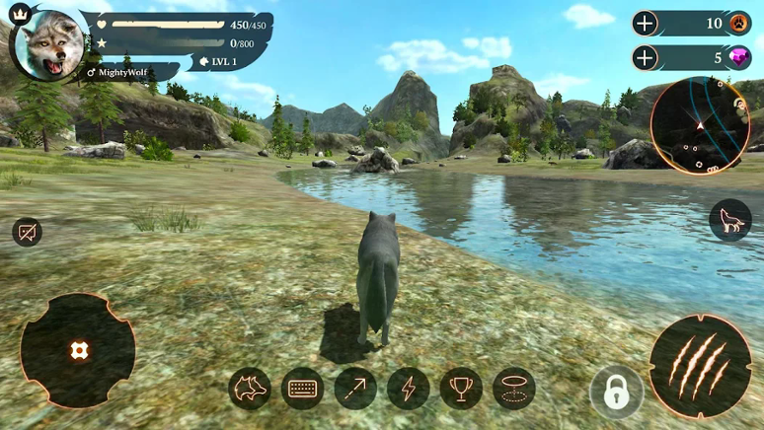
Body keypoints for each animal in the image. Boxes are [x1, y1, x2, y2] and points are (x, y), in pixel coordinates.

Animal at [356, 212, 400, 346]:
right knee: (386, 321)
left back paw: (361, 341)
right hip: (391, 295)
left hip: (362, 291)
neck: (381, 228)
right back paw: (385, 342)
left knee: (364, 319)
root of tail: (379, 257)